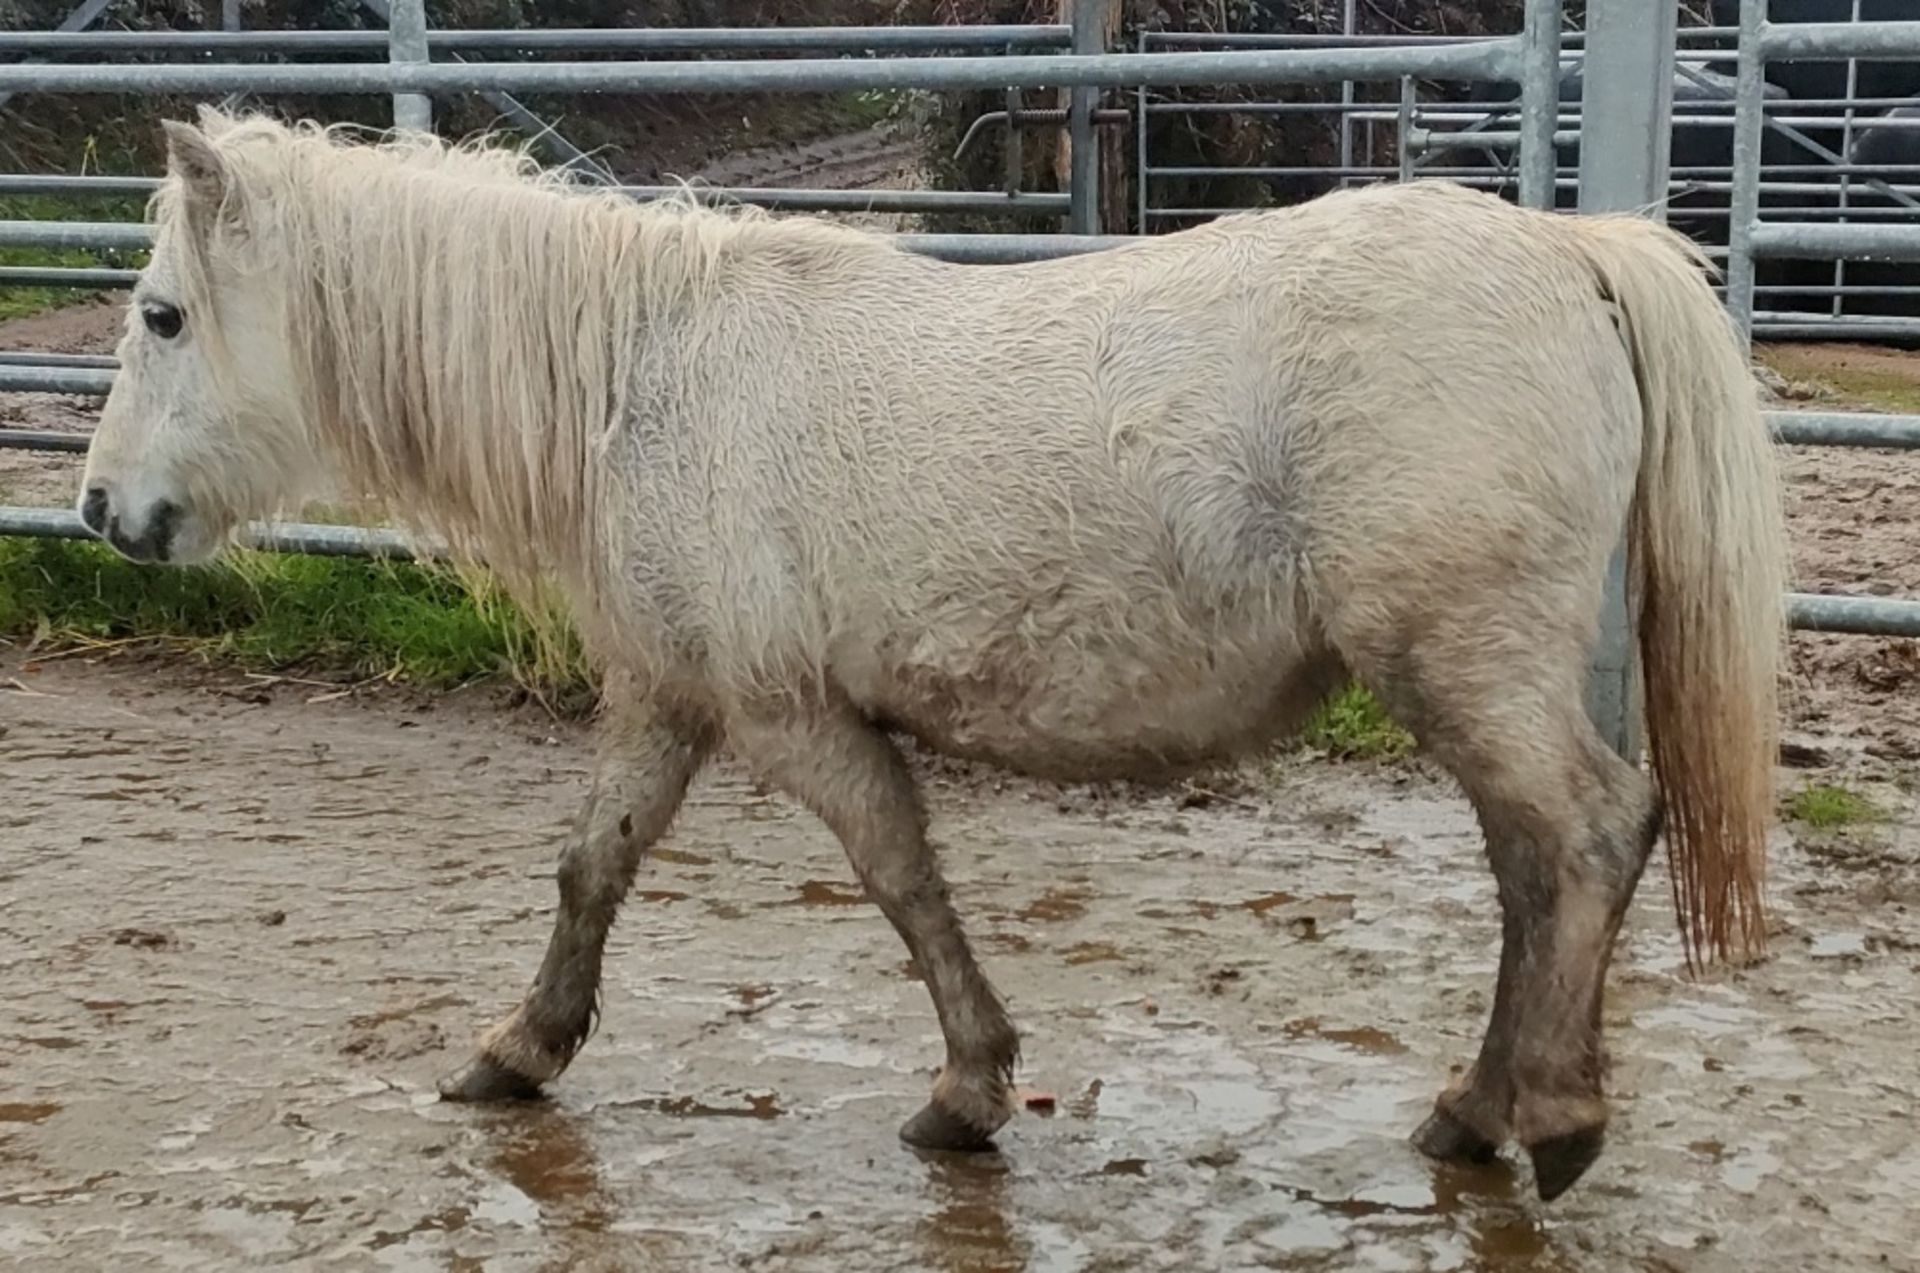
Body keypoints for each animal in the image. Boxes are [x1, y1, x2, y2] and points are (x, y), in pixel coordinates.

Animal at [74, 109, 1781, 1205]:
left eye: (160, 315)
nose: (98, 511)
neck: (643, 374)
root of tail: (1567, 254)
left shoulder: (789, 717)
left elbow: (898, 877)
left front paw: (967, 1092)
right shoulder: (671, 697)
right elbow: (592, 865)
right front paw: (518, 1050)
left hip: (1466, 664)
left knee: (1588, 835)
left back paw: (1554, 1115)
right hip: (1470, 679)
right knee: (1530, 870)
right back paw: (1472, 1111)